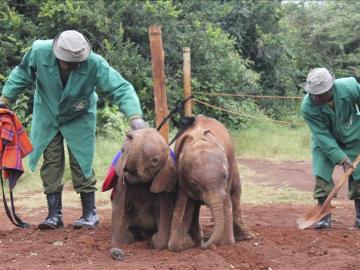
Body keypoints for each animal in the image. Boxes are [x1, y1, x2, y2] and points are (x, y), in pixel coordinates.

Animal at [168, 114, 250, 251]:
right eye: (195, 184)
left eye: (225, 176)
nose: (204, 244)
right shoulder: (183, 178)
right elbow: (182, 204)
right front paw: (182, 245)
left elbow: (226, 202)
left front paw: (226, 244)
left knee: (236, 193)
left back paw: (246, 237)